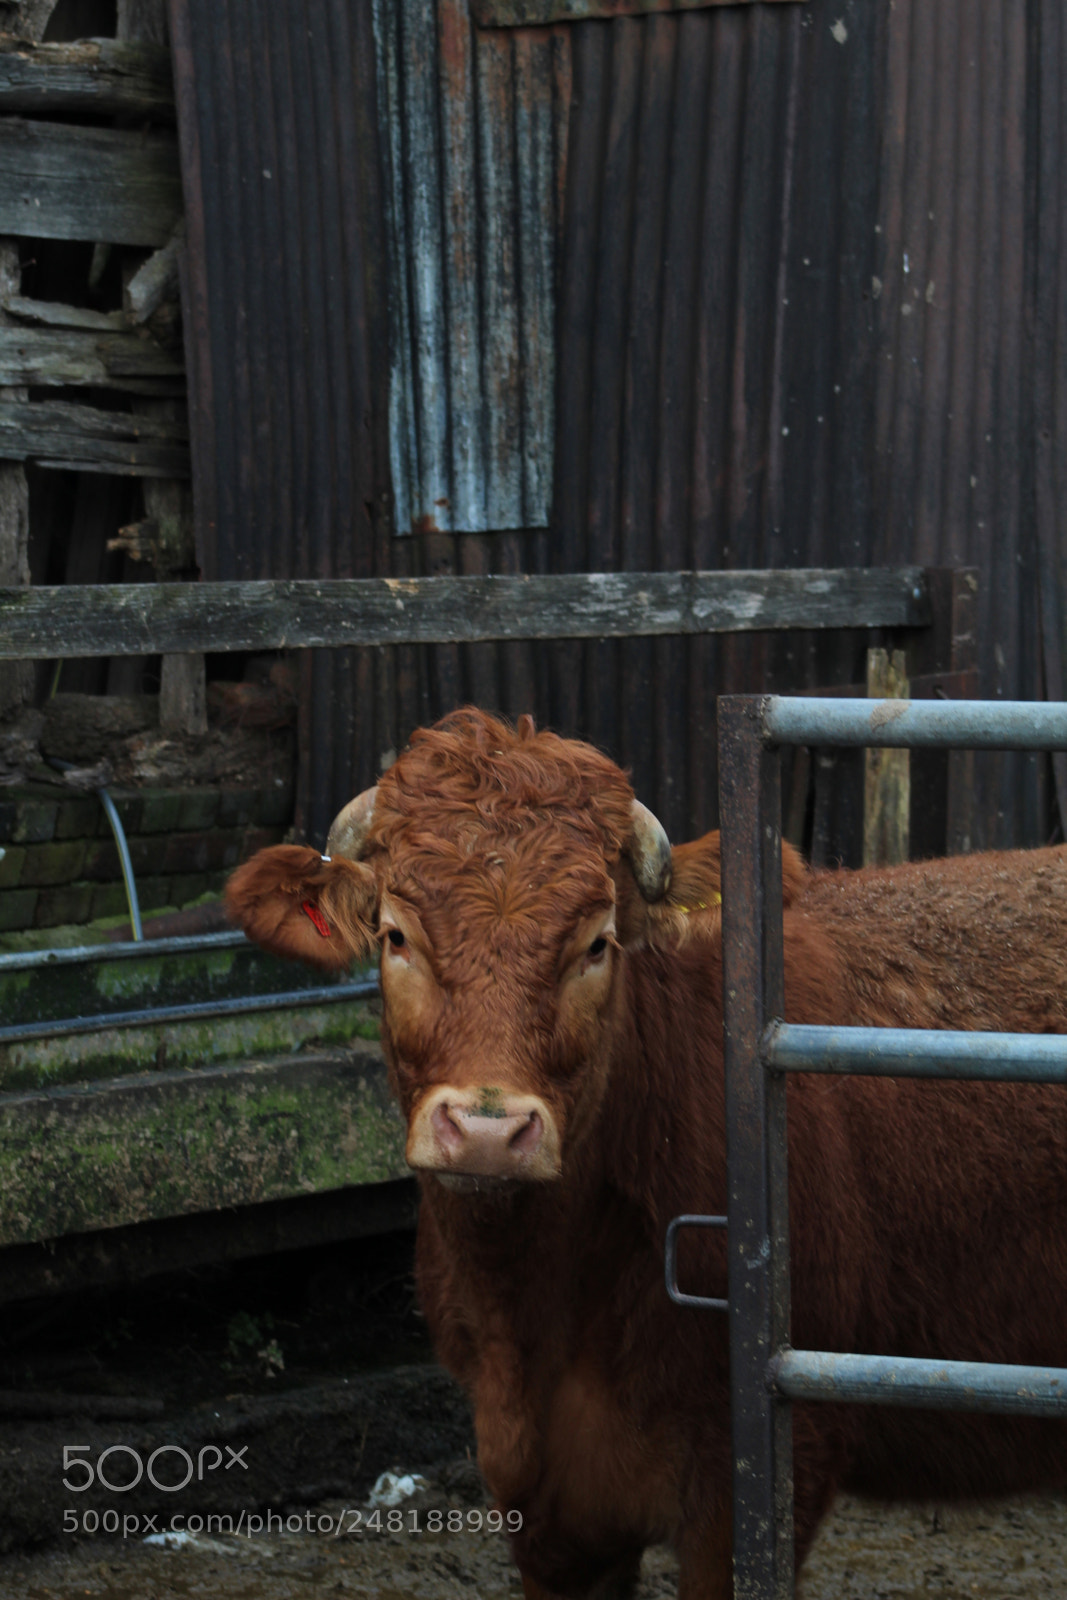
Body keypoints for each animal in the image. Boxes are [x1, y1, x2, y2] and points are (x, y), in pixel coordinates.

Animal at [226, 707, 1067, 1600]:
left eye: (596, 944)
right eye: (393, 935)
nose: (488, 1131)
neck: (546, 1311)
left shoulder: (759, 1485)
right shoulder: (542, 1507)